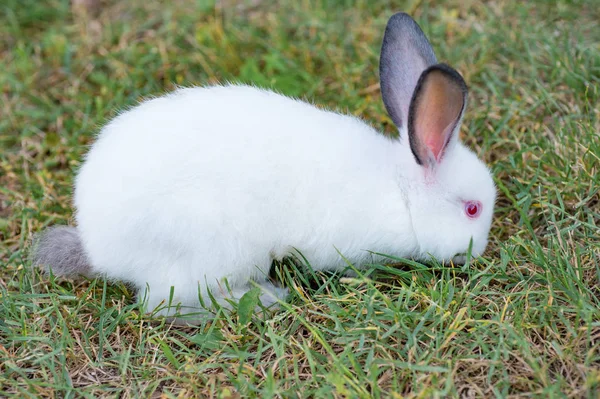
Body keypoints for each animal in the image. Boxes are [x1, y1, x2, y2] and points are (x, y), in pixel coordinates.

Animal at [29, 14, 496, 324]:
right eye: (472, 209)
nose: (478, 253)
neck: (401, 192)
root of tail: (98, 248)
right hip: (217, 251)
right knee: (163, 304)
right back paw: (267, 298)